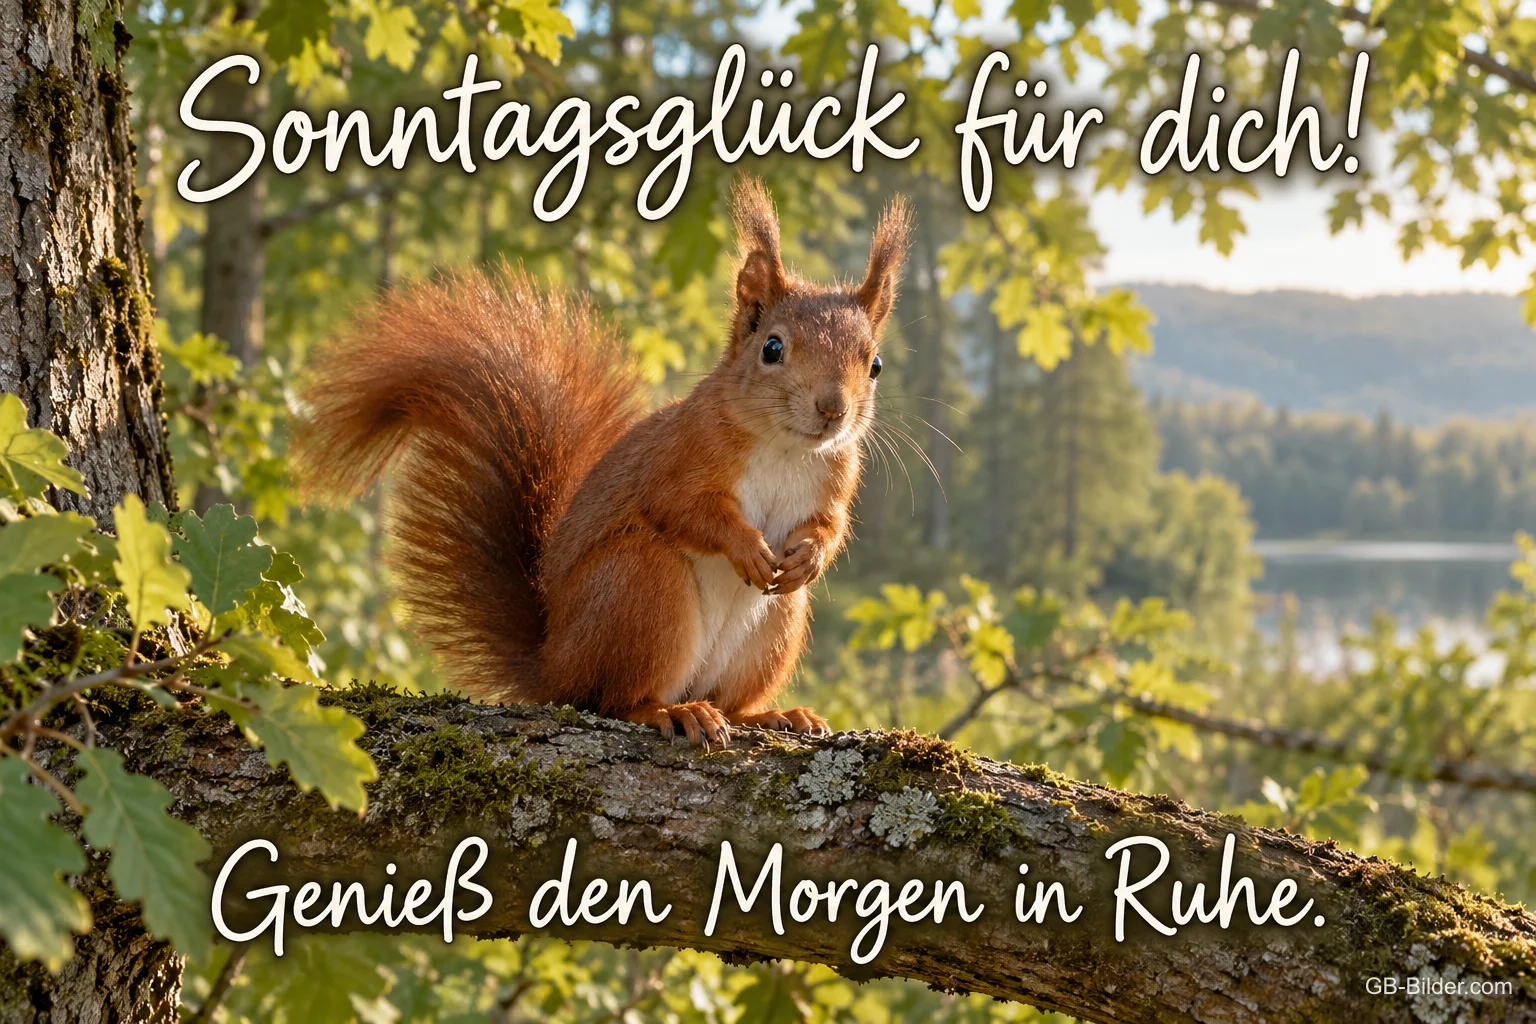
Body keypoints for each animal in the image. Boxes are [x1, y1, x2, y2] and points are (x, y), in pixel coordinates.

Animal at [292, 178, 911, 747]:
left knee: (730, 701)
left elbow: (830, 525)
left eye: (875, 364)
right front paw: (746, 547)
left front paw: (810, 556)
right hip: (639, 585)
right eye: (773, 348)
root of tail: (554, 666)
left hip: (774, 626)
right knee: (612, 699)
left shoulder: (836, 475)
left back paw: (772, 715)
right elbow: (682, 507)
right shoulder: (683, 454)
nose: (833, 409)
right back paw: (670, 712)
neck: (786, 447)